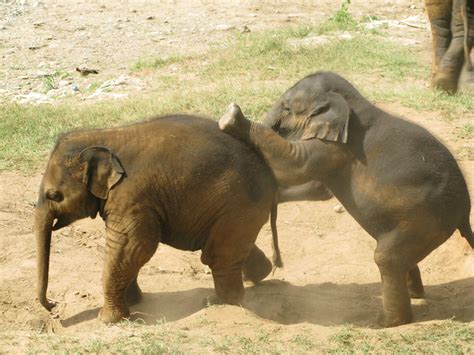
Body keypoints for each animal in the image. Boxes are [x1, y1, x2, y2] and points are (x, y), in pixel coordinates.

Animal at [38, 114, 282, 326]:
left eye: (54, 195)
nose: (52, 307)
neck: (102, 136)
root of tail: (271, 177)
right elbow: (130, 249)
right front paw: (134, 302)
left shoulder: (131, 197)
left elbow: (133, 244)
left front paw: (108, 320)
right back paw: (260, 274)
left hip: (238, 205)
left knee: (217, 255)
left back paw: (218, 302)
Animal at [219, 71, 474, 328]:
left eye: (287, 109)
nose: (278, 264)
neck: (350, 99)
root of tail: (464, 212)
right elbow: (317, 186)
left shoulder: (337, 147)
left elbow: (296, 163)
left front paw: (231, 116)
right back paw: (414, 294)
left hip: (426, 219)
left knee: (387, 258)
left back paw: (385, 322)